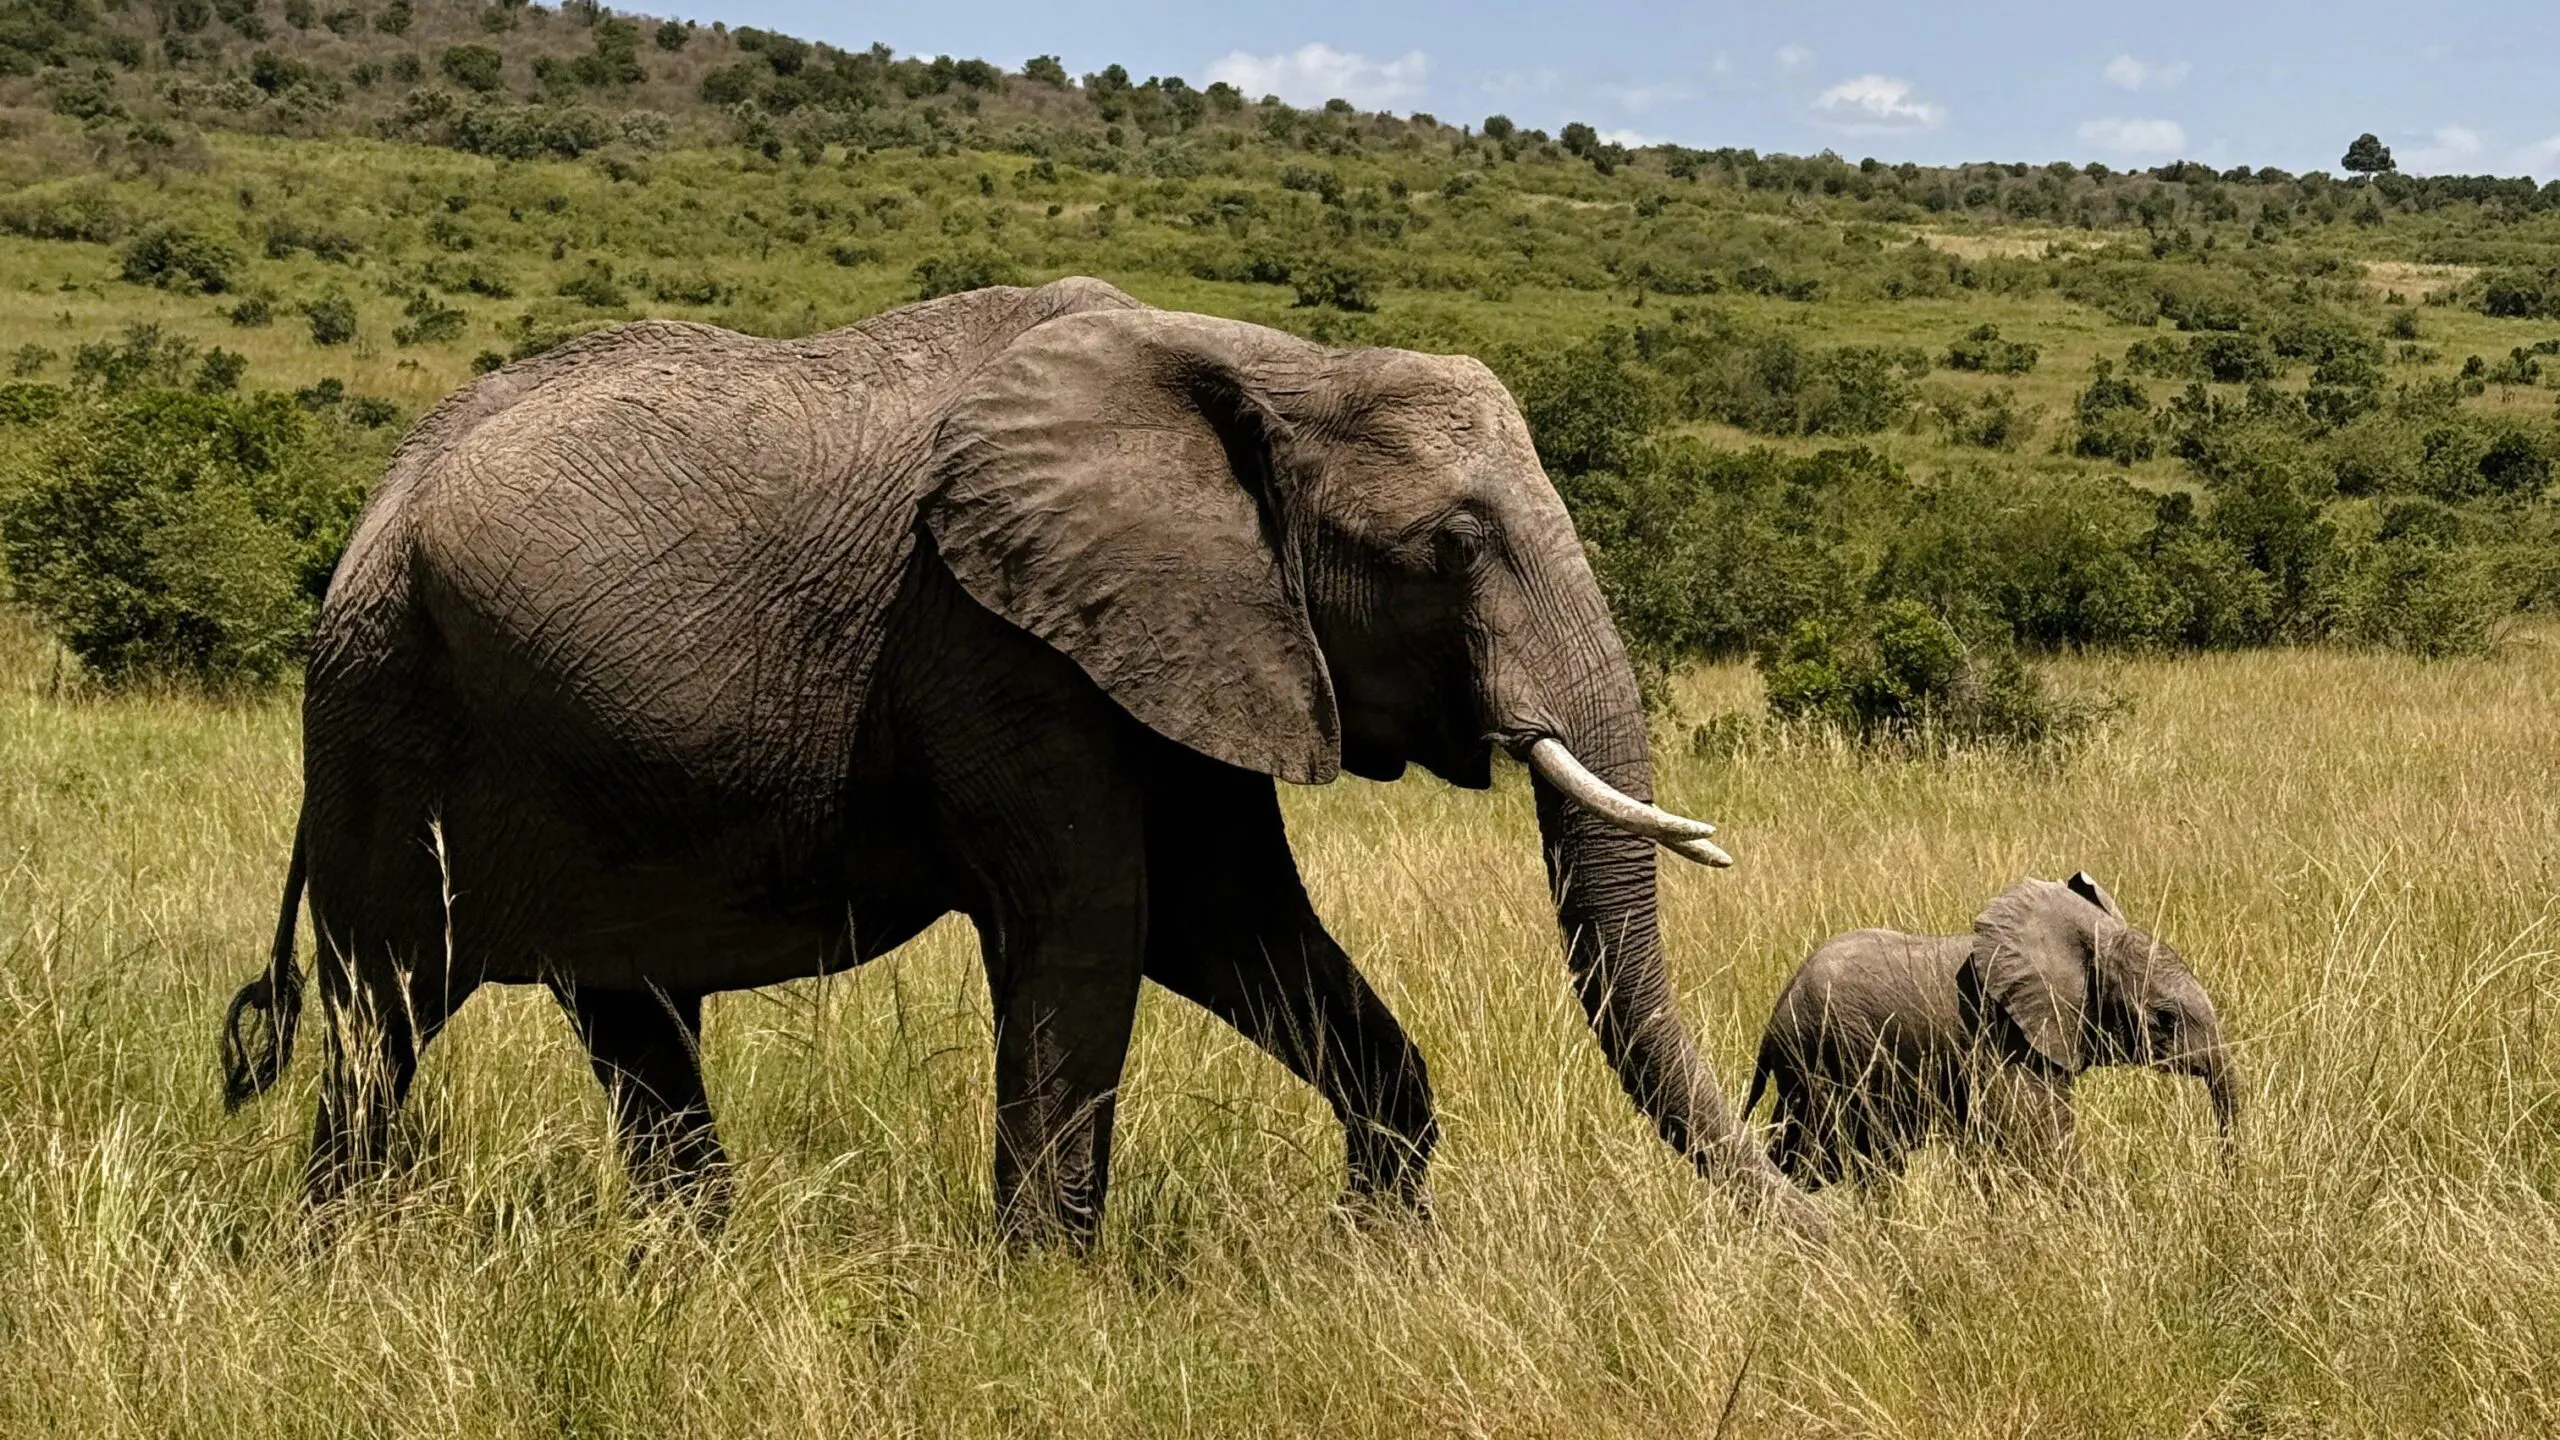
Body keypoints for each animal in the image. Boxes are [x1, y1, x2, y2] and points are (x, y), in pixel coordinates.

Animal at [218, 276, 1821, 1240]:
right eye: (1451, 546)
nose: (1821, 1220)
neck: (1260, 366)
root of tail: (368, 517)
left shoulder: (1186, 632)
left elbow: (1231, 921)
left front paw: (1375, 1248)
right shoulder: (993, 642)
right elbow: (1092, 928)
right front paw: (1049, 1294)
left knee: (634, 1021)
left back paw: (693, 1271)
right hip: (386, 719)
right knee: (383, 1022)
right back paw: (346, 1260)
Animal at [1743, 873, 2236, 1188]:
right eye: (2164, 1020)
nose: (2225, 1186)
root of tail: (1774, 1017)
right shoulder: (2003, 1040)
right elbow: (2037, 1140)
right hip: (1826, 1060)